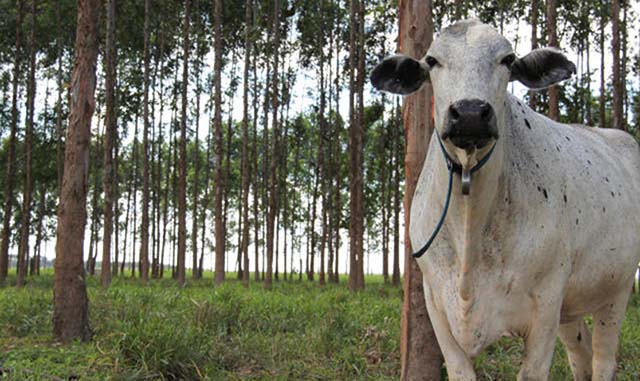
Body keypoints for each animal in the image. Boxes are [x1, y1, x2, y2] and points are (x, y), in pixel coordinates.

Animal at [370, 20, 640, 380]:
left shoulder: (545, 307)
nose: (470, 113)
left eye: (507, 59)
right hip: (572, 307)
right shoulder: (437, 308)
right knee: (579, 356)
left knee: (603, 361)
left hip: (616, 292)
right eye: (432, 61)